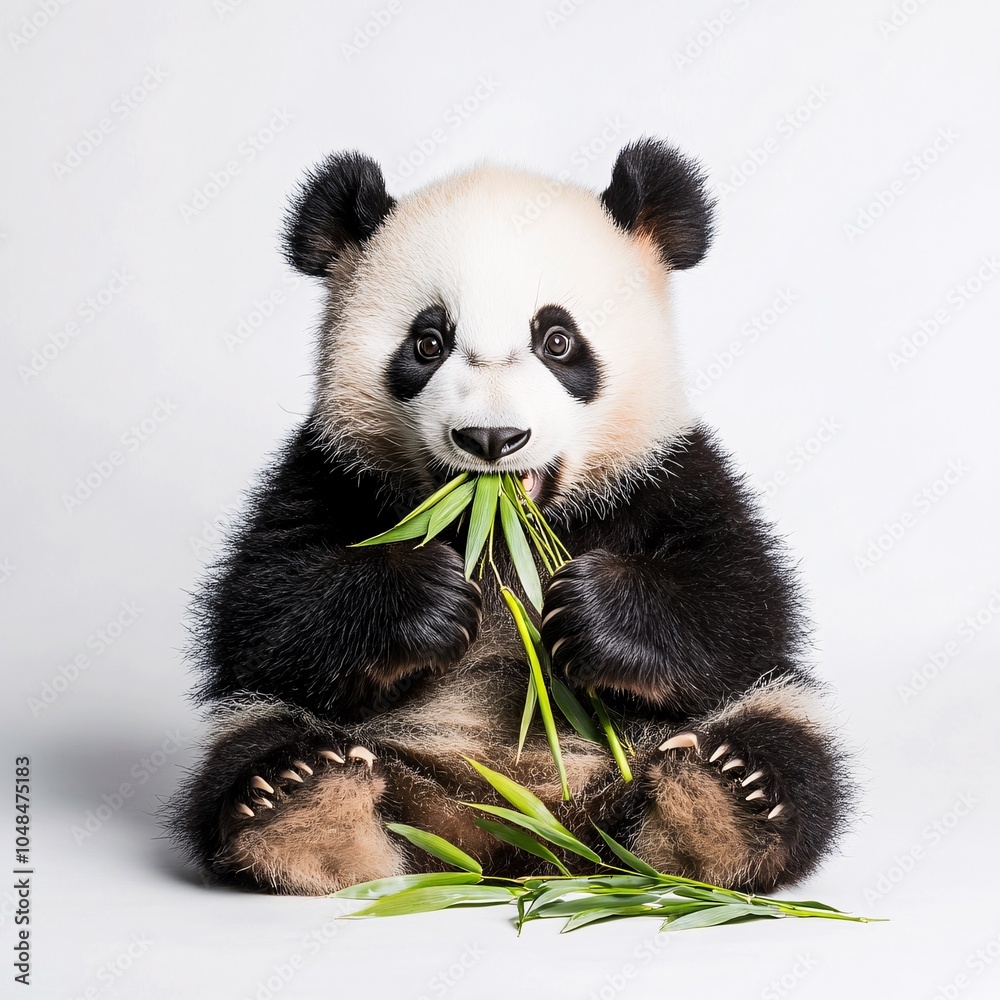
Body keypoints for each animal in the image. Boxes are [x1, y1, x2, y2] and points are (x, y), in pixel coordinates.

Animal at [171, 138, 852, 896]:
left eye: (557, 340)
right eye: (428, 342)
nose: (492, 439)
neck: (498, 535)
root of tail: (517, 841)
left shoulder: (667, 470)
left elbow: (744, 610)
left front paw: (591, 611)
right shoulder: (331, 469)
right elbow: (264, 610)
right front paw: (427, 599)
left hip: (685, 745)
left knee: (783, 738)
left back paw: (724, 799)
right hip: (354, 751)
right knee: (253, 736)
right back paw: (300, 798)